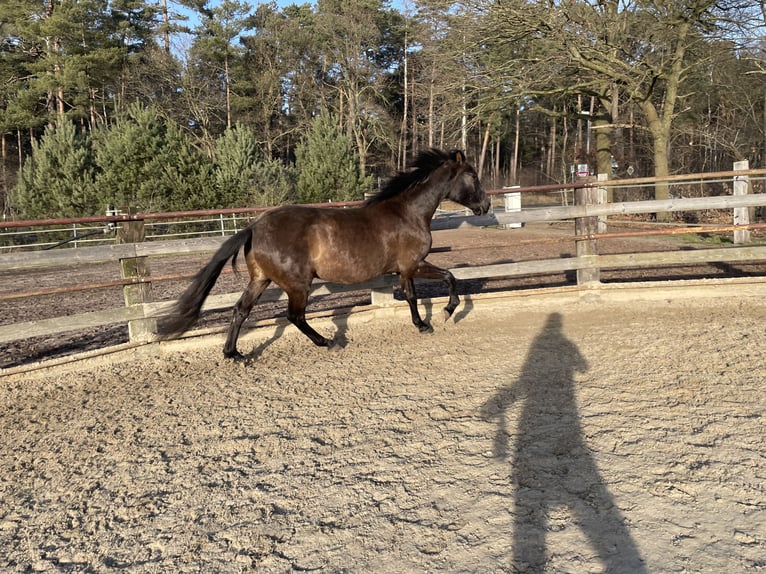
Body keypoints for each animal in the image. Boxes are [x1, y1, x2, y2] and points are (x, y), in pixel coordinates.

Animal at [157, 148, 490, 358]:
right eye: (473, 175)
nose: (485, 205)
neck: (408, 213)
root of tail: (254, 226)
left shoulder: (406, 268)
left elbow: (435, 283)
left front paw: (437, 317)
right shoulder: (412, 265)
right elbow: (435, 284)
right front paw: (437, 317)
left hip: (260, 279)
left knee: (241, 310)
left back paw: (233, 354)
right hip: (297, 284)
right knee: (294, 315)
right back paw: (327, 341)